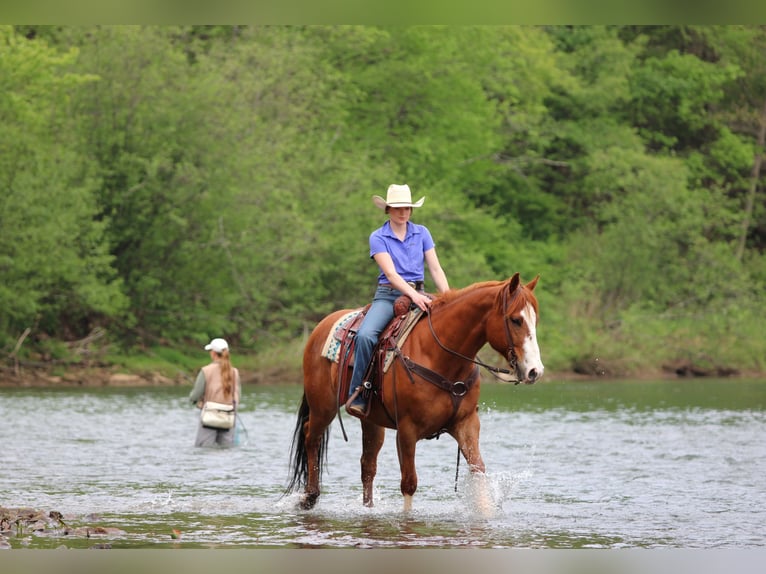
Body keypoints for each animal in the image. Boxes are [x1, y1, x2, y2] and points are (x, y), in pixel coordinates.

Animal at [285, 273, 543, 512]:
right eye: (515, 320)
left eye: (535, 320)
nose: (535, 371)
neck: (441, 356)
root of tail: (321, 326)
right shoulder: (407, 430)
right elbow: (409, 484)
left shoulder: (466, 423)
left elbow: (478, 469)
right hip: (323, 407)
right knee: (311, 436)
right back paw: (310, 497)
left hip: (371, 420)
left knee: (367, 464)